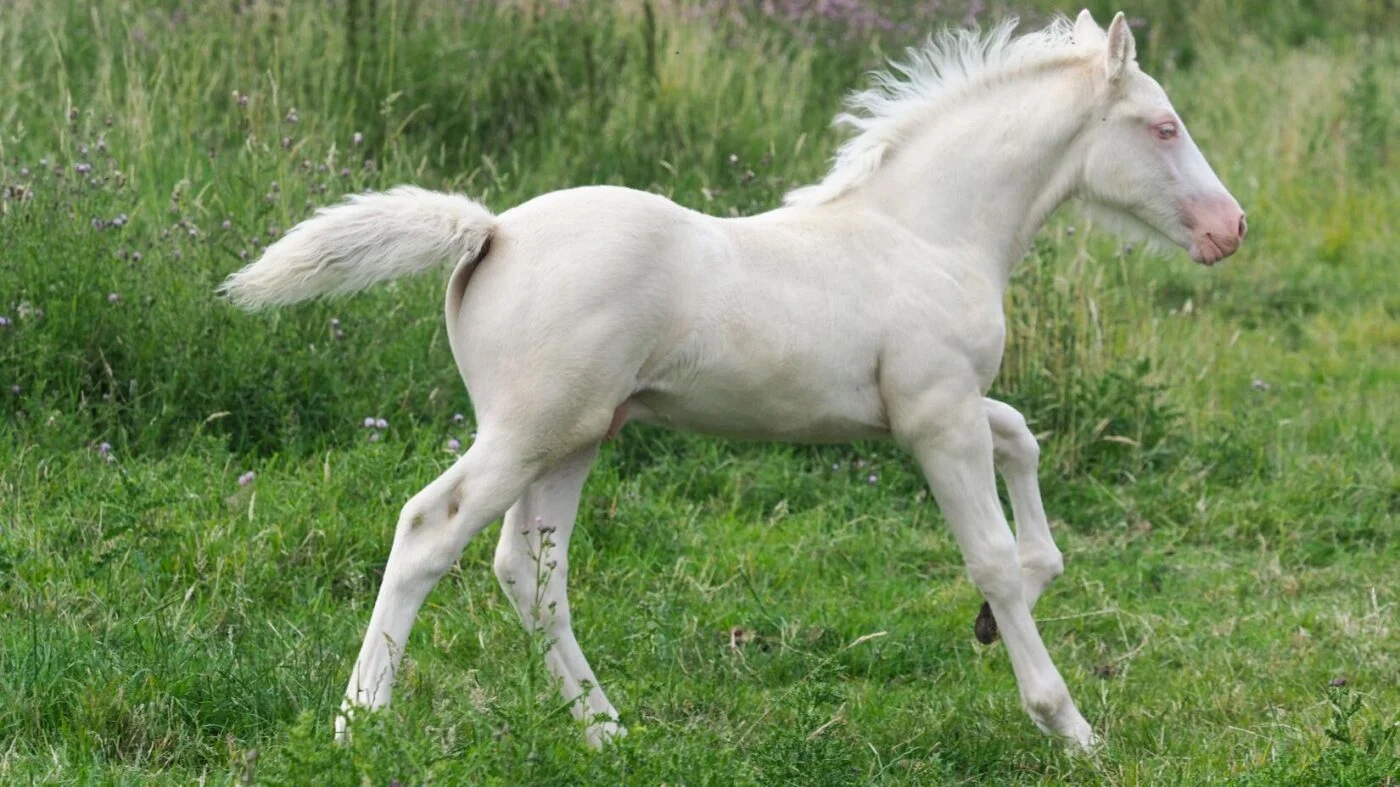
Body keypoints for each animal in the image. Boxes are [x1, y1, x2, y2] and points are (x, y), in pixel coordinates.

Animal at [219, 9, 1245, 751]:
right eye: (1164, 125)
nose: (1229, 228)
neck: (926, 231)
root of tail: (491, 229)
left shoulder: (932, 408)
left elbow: (1023, 438)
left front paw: (1009, 606)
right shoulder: (935, 419)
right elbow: (987, 549)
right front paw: (1068, 722)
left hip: (577, 434)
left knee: (531, 573)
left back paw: (605, 730)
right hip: (524, 430)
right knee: (430, 530)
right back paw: (360, 720)